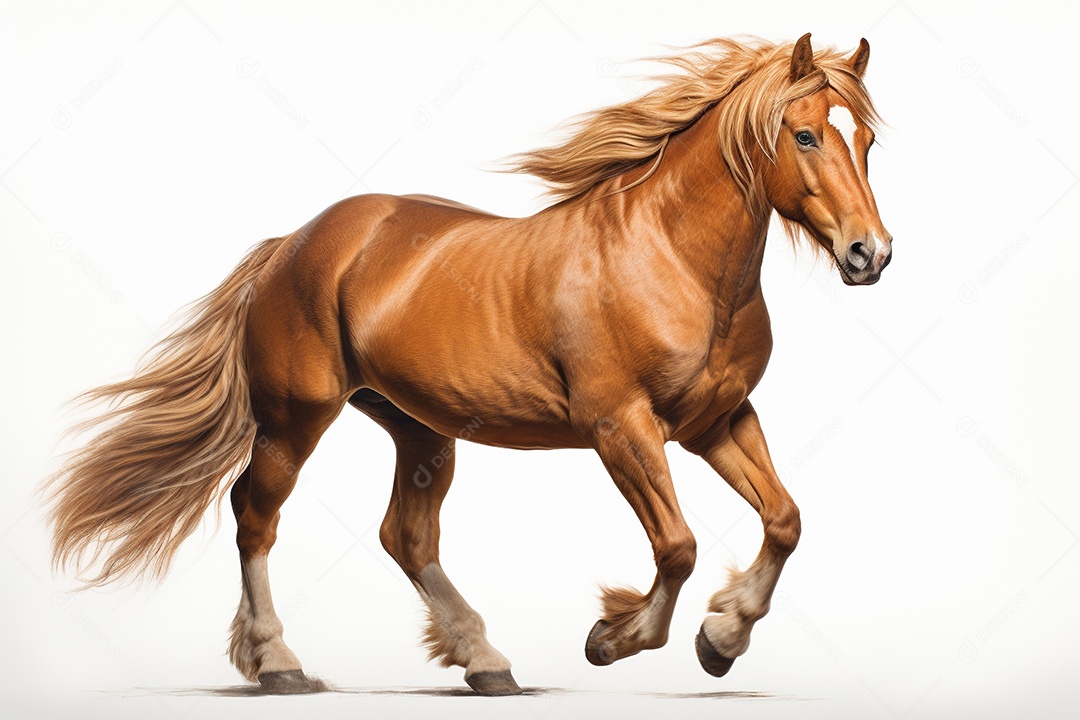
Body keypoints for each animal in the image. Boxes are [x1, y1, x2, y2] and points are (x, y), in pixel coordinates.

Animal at [43, 33, 892, 695]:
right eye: (807, 136)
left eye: (868, 141)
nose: (870, 254)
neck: (672, 258)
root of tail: (291, 245)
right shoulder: (621, 426)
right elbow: (677, 546)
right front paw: (613, 640)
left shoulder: (715, 421)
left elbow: (784, 520)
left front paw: (722, 638)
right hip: (295, 419)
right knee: (256, 517)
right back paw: (278, 662)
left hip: (419, 430)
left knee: (406, 538)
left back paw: (486, 661)